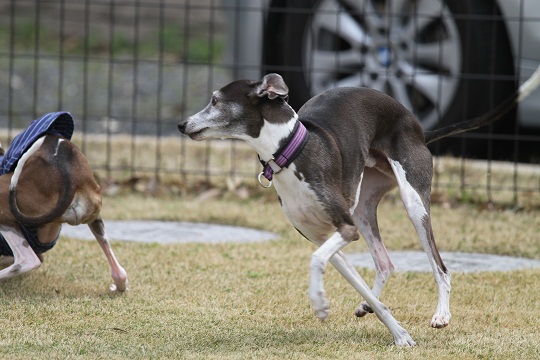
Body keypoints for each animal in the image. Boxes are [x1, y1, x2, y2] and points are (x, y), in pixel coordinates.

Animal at [178, 66, 540, 348]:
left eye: (215, 100)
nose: (181, 125)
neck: (292, 150)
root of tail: (420, 128)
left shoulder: (344, 228)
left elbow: (316, 260)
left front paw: (322, 305)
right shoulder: (323, 234)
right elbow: (348, 276)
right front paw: (393, 329)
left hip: (413, 203)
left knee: (440, 266)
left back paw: (441, 314)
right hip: (363, 209)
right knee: (385, 263)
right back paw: (370, 305)